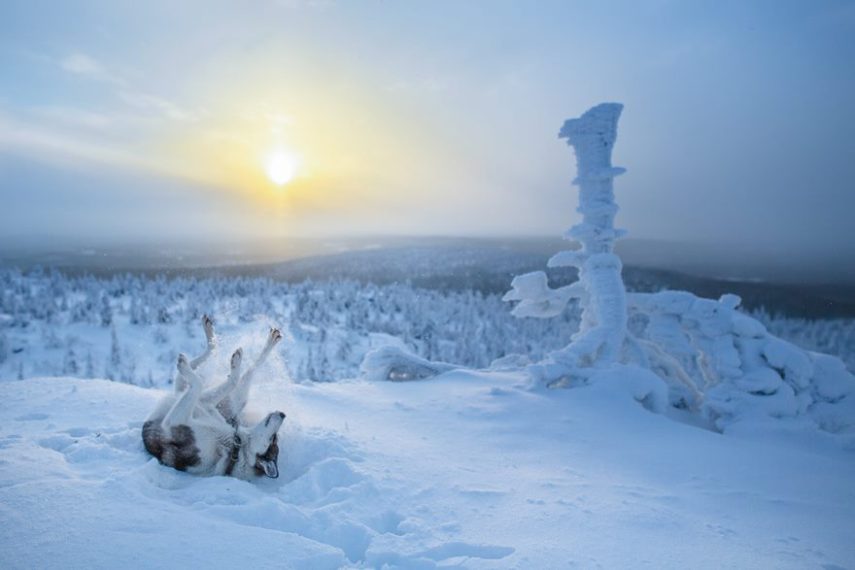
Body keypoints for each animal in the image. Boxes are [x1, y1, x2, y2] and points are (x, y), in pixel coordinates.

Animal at [142, 318, 286, 478]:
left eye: (273, 438)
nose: (283, 414)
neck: (234, 446)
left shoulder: (174, 422)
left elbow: (199, 384)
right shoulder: (207, 406)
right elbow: (228, 381)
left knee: (202, 379)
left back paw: (188, 363)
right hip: (214, 399)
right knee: (235, 369)